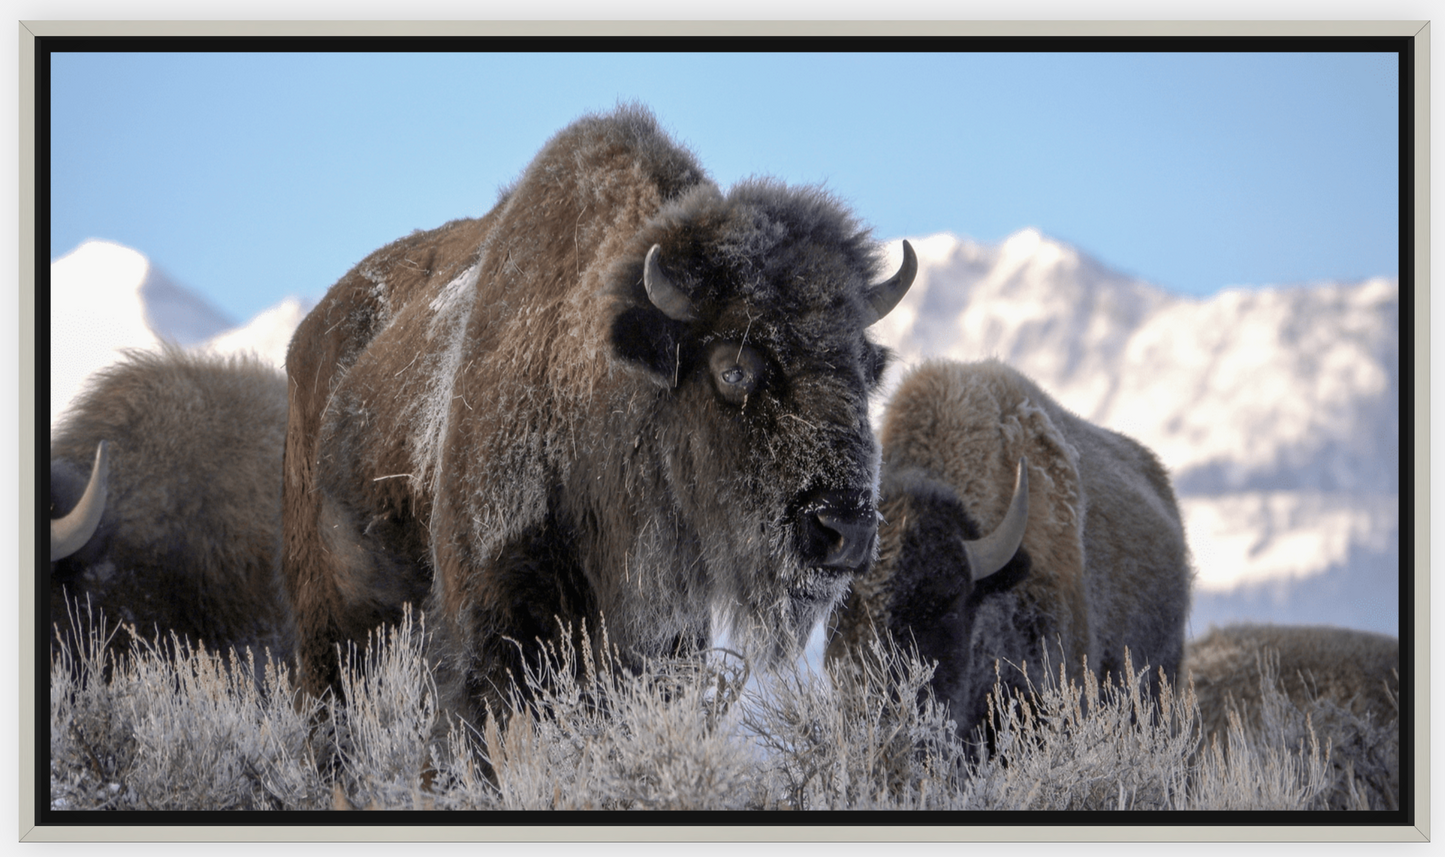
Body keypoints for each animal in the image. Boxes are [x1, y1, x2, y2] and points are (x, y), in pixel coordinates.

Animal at [280, 103, 913, 725]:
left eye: (870, 367)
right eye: (733, 368)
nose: (846, 529)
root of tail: (304, 344)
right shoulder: (488, 635)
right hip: (330, 632)